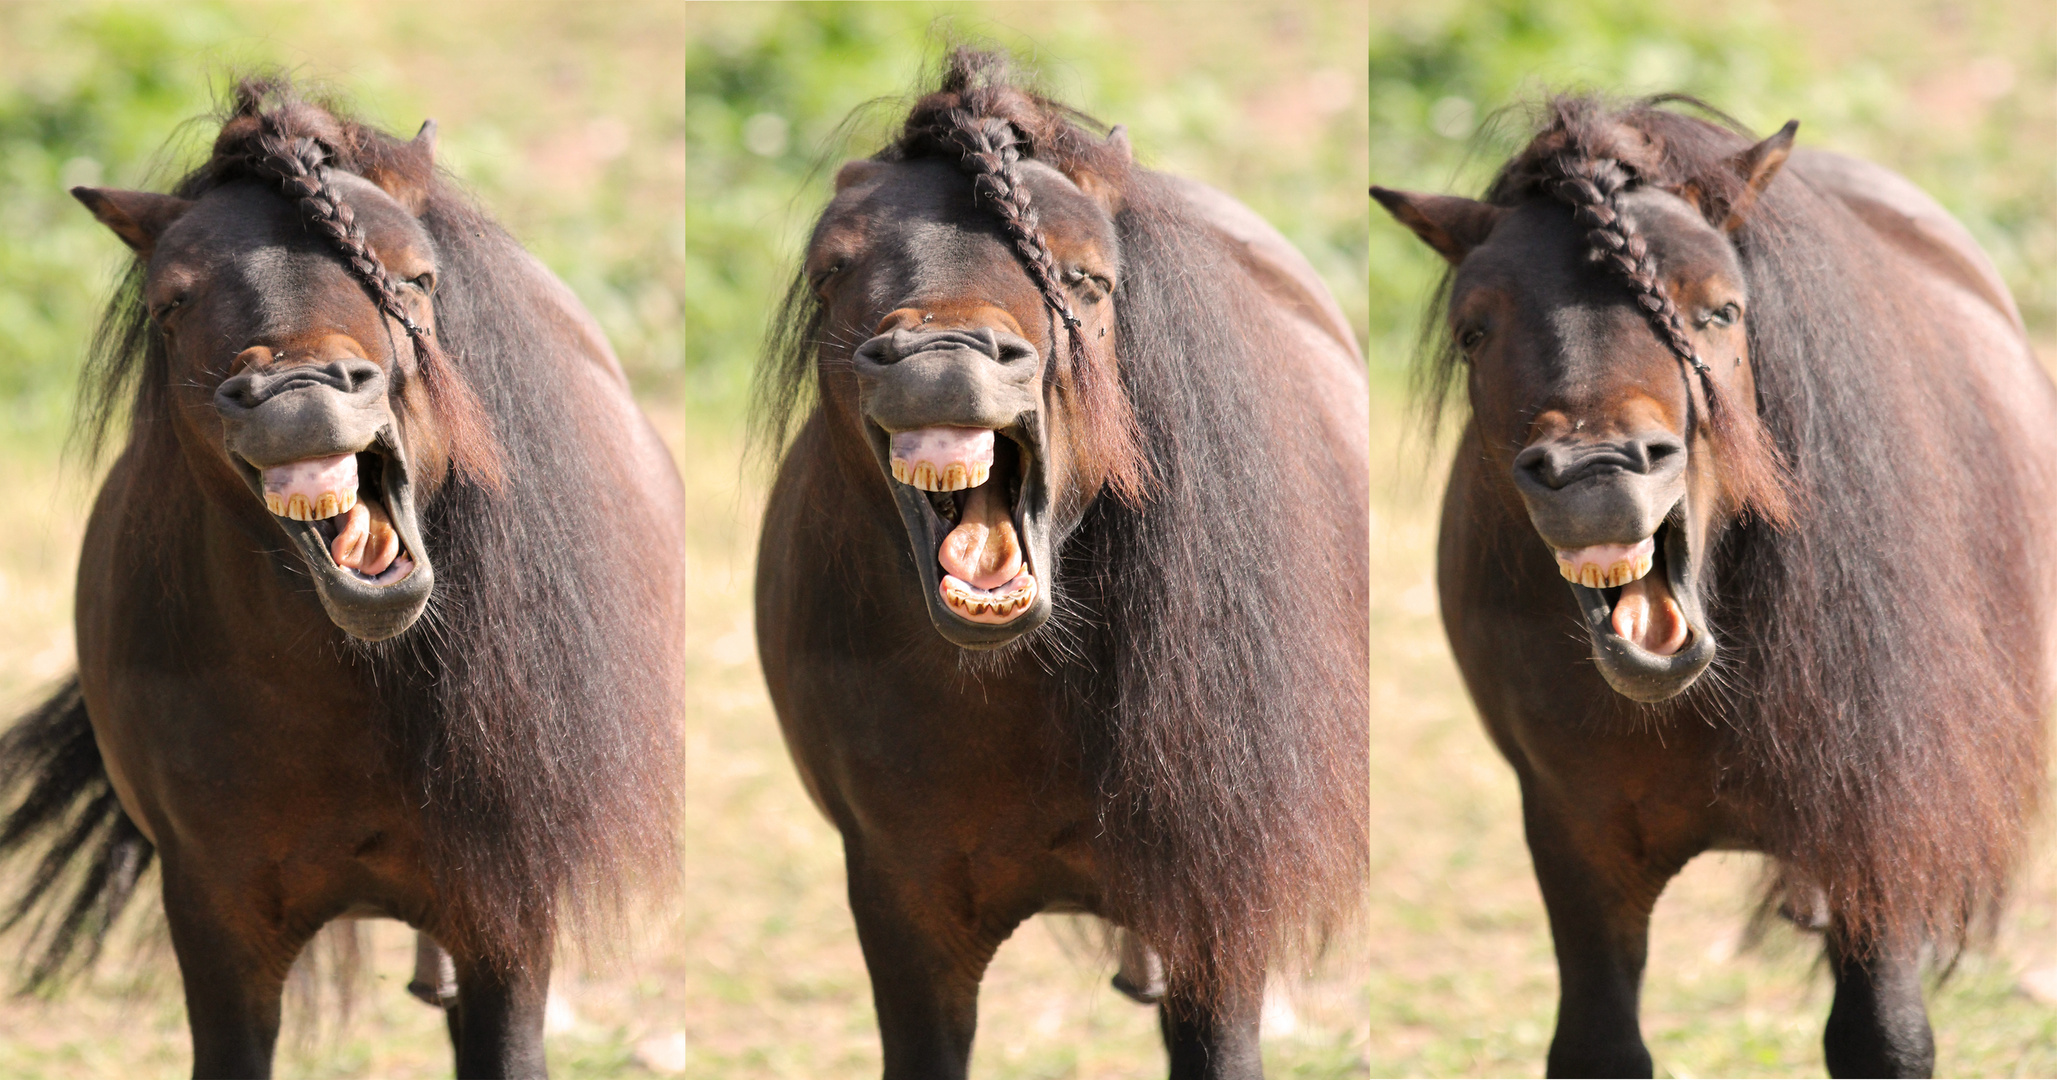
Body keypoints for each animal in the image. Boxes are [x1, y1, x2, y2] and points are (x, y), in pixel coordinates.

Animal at [1382, 96, 2057, 1069]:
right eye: (1473, 331)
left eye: (1720, 311)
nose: (1596, 473)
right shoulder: (1574, 839)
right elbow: (1599, 1047)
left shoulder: (1875, 829)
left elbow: (1882, 1036)